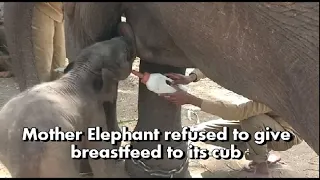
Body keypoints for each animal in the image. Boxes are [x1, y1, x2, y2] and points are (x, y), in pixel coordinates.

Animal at [0, 35, 136, 177]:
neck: (80, 71)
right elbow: (98, 149)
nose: (124, 37)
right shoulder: (93, 110)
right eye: (125, 54)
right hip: (58, 153)